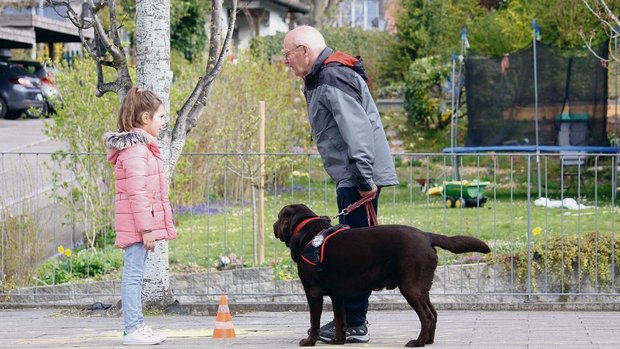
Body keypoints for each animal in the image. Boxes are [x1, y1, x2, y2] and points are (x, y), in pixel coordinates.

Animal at [274, 203, 492, 346]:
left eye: (278, 217)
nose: (274, 226)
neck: (309, 234)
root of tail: (426, 236)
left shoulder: (313, 292)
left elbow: (315, 321)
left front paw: (309, 341)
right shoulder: (338, 295)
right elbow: (341, 320)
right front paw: (338, 341)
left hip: (410, 288)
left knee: (427, 317)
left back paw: (418, 342)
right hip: (421, 288)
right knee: (434, 313)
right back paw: (428, 340)